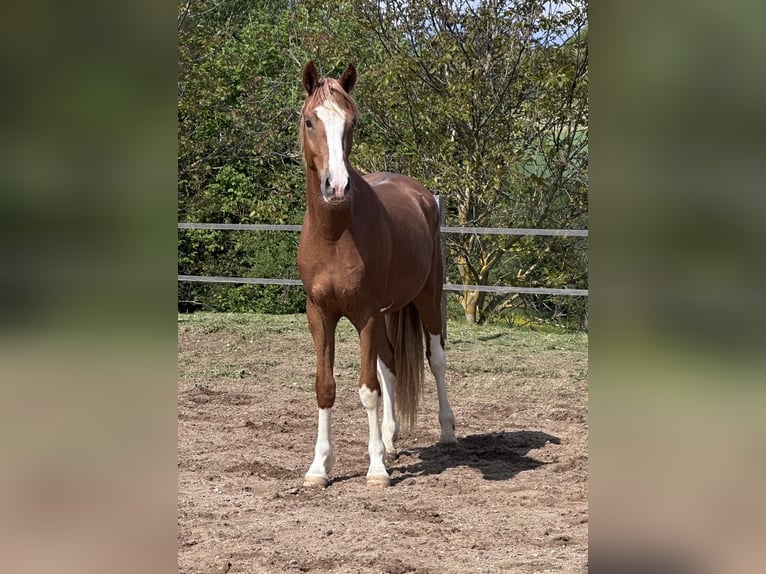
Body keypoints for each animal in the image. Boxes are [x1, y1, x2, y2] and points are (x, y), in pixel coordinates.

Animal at [297, 61, 456, 488]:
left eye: (352, 122)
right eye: (310, 121)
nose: (337, 186)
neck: (335, 234)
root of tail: (422, 195)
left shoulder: (365, 314)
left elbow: (368, 390)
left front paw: (376, 470)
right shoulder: (320, 315)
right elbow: (325, 387)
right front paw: (319, 468)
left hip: (427, 299)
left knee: (435, 358)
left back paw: (448, 432)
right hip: (388, 313)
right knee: (390, 366)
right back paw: (389, 439)